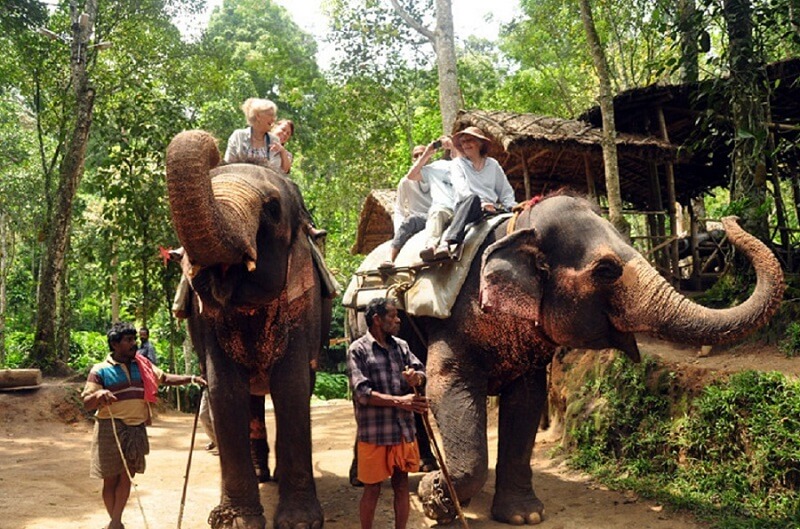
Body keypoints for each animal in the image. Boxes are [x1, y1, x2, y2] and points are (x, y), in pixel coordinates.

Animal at [166, 130, 331, 529]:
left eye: (271, 209)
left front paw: (299, 522)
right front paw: (236, 521)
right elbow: (224, 391)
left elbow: (291, 386)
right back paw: (260, 475)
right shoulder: (205, 323)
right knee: (252, 400)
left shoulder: (304, 303)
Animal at [350, 192, 784, 525]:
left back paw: (424, 466)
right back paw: (378, 477)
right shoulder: (454, 318)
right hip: (356, 323)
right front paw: (435, 499)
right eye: (607, 270)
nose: (730, 218)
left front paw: (522, 516)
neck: (519, 227)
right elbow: (445, 384)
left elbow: (527, 399)